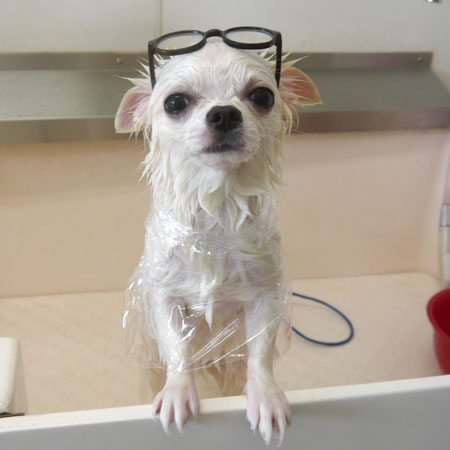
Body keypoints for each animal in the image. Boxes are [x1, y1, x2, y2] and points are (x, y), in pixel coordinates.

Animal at [115, 40, 320, 444]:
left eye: (262, 96)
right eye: (175, 102)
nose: (224, 113)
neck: (218, 217)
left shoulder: (265, 295)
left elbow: (260, 353)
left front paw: (266, 395)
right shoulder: (165, 295)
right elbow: (177, 346)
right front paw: (179, 392)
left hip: (228, 363)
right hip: (151, 363)